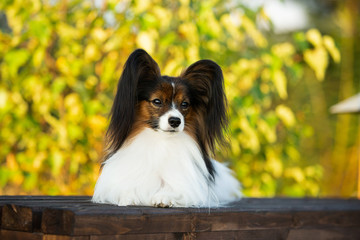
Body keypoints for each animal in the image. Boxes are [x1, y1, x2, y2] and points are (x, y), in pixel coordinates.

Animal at [92, 49, 242, 208]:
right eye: (157, 101)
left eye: (184, 104)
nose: (175, 121)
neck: (161, 141)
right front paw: (129, 196)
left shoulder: (190, 189)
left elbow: (176, 191)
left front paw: (164, 197)